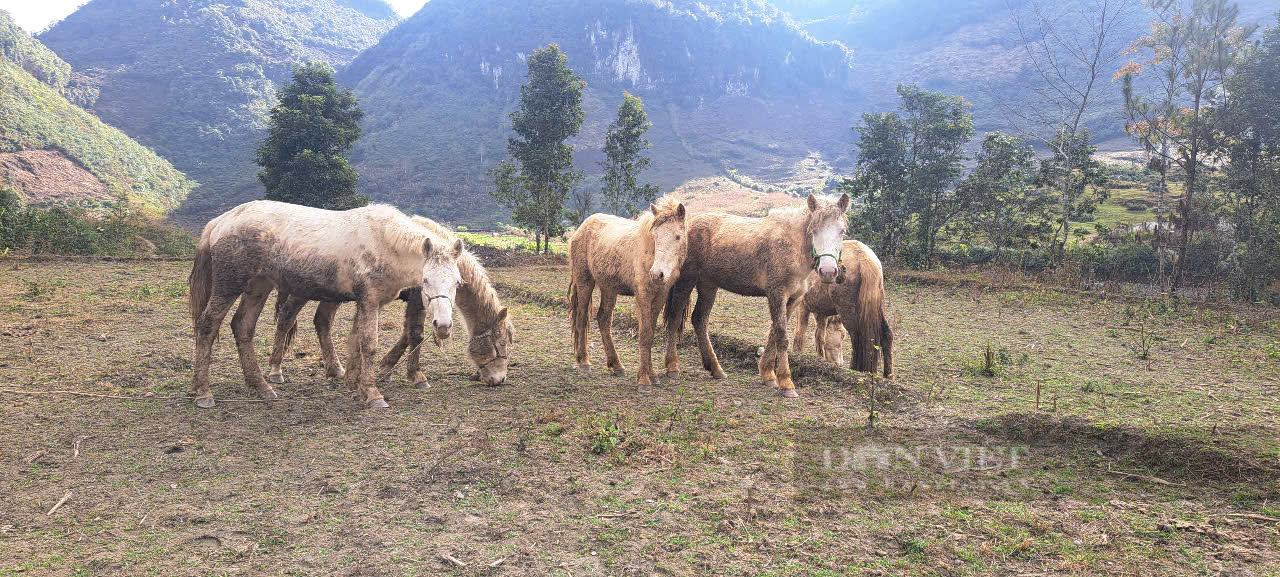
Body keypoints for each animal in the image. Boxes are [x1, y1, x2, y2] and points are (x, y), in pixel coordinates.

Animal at [189, 200, 460, 409]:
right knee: (207, 326)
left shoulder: (369, 302)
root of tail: (221, 221)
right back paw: (204, 392)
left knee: (242, 327)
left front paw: (354, 386)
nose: (443, 326)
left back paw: (261, 386)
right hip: (229, 286)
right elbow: (368, 344)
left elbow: (355, 341)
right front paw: (373, 394)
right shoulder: (369, 300)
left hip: (258, 286)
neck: (383, 241)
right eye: (425, 280)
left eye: (457, 282)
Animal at [270, 216, 514, 388]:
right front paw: (415, 376)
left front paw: (386, 368)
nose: (499, 379)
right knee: (286, 318)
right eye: (497, 345)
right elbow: (415, 334)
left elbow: (407, 333)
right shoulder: (417, 299)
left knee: (322, 321)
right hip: (302, 292)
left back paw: (335, 369)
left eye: (456, 283)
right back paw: (275, 370)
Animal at [570, 197, 691, 391]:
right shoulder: (643, 295)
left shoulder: (660, 296)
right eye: (655, 237)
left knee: (603, 319)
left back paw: (616, 365)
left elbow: (651, 332)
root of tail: (582, 228)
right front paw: (644, 380)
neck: (650, 254)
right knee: (582, 319)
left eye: (677, 236)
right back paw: (584, 363)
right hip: (585, 282)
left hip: (609, 288)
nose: (657, 274)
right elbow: (645, 334)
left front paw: (652, 375)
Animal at [660, 194, 849, 396]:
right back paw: (672, 367)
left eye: (842, 231)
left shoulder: (793, 300)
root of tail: (687, 224)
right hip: (686, 281)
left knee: (699, 320)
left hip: (708, 285)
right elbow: (781, 336)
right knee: (675, 318)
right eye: (813, 230)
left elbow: (773, 333)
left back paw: (715, 368)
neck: (793, 246)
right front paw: (786, 383)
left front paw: (768, 374)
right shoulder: (777, 294)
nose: (828, 271)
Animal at [793, 239, 896, 378]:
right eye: (841, 336)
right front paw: (820, 361)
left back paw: (854, 369)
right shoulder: (822, 313)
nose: (838, 363)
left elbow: (799, 335)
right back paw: (888, 376)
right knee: (887, 335)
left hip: (848, 313)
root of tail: (864, 258)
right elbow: (820, 337)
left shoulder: (802, 307)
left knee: (857, 338)